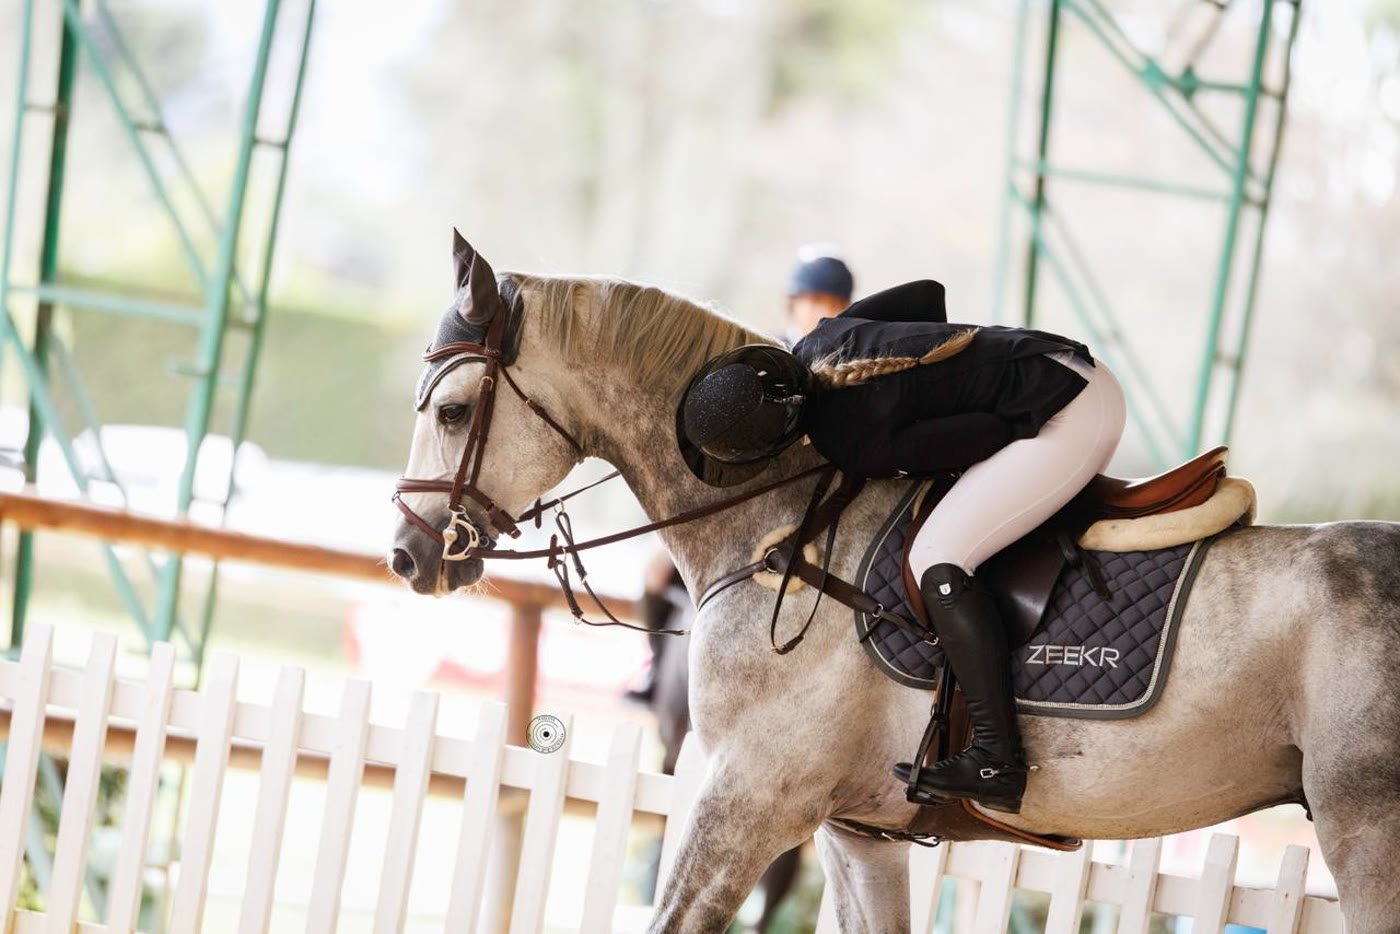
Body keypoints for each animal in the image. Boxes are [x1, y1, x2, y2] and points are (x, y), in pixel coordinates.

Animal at [388, 238, 1400, 933]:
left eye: (456, 411)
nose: (408, 555)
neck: (776, 518)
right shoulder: (855, 831)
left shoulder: (746, 799)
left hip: (1366, 834)